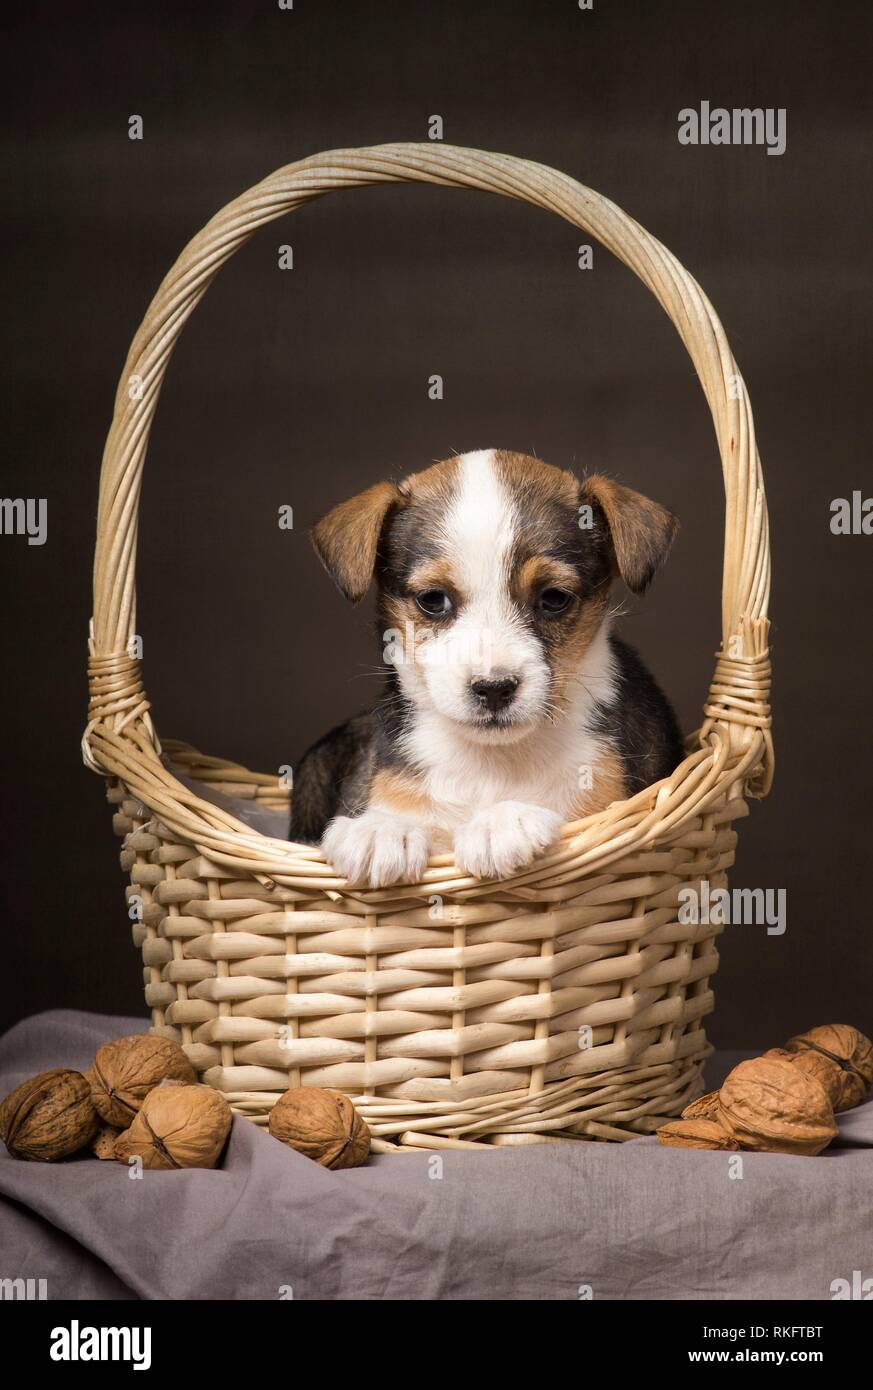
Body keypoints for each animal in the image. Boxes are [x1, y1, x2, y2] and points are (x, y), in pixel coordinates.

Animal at [290, 450, 686, 884]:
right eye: (432, 599)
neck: (492, 760)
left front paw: (502, 822)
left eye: (554, 598)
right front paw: (383, 829)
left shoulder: (605, 806)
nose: (494, 689)